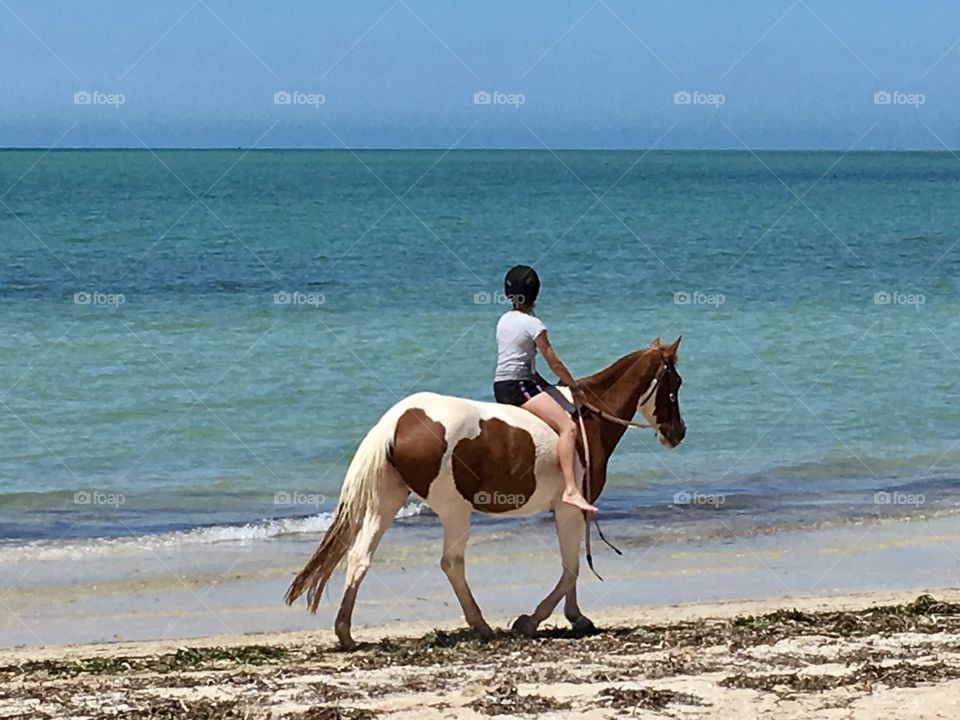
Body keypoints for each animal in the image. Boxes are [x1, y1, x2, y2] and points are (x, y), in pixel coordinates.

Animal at [282, 338, 688, 648]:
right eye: (677, 382)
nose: (678, 433)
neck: (587, 420)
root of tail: (398, 419)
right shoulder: (569, 508)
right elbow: (571, 567)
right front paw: (531, 621)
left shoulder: (566, 512)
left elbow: (570, 566)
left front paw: (576, 618)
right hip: (454, 510)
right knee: (451, 563)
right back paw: (480, 624)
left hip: (387, 501)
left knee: (360, 557)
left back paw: (345, 632)